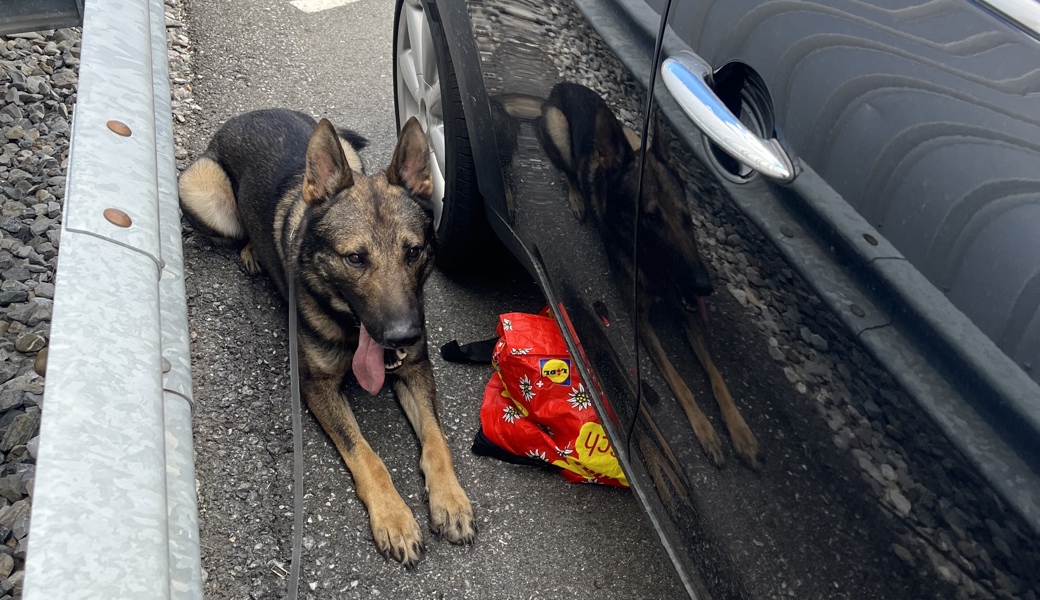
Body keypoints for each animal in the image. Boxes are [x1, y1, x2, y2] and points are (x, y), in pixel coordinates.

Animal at [177, 108, 476, 565]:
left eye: (413, 252)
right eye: (355, 259)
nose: (402, 336)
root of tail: (252, 114)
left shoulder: (416, 370)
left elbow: (436, 440)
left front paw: (450, 498)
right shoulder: (316, 388)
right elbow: (366, 454)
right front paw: (394, 517)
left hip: (350, 155)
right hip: (200, 190)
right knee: (237, 229)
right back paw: (251, 250)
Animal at [528, 83, 757, 467]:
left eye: (687, 218)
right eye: (650, 219)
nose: (703, 286)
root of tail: (564, 87)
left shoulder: (685, 313)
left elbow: (715, 374)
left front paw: (740, 429)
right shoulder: (643, 323)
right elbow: (680, 381)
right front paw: (705, 429)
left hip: (631, 134)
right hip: (558, 128)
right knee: (569, 171)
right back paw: (577, 198)